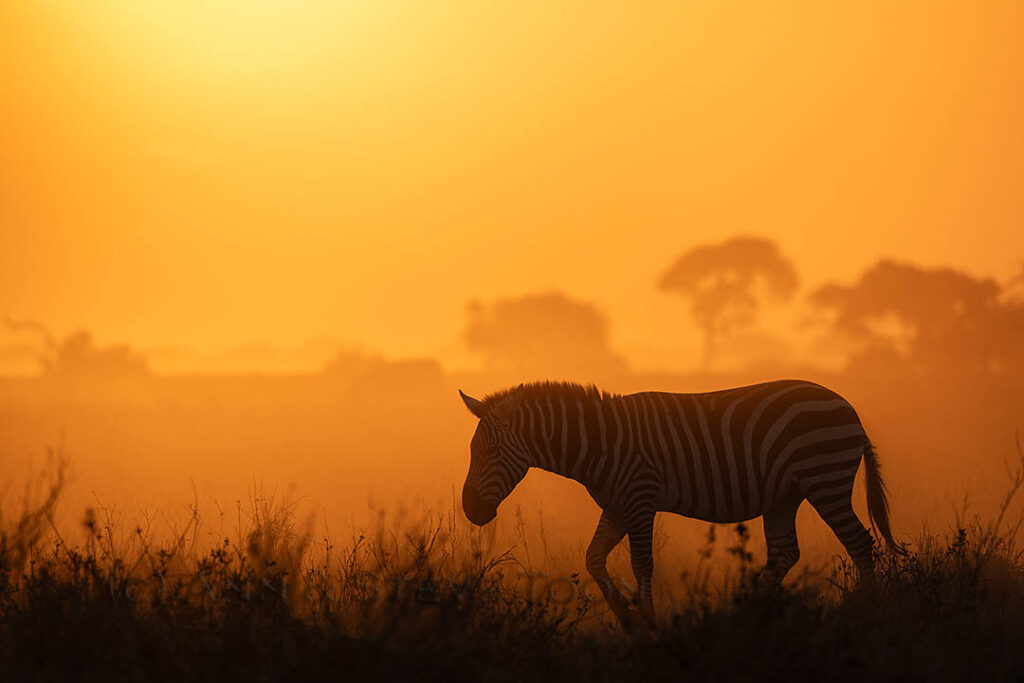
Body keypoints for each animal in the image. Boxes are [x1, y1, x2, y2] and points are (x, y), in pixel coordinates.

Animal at [458, 380, 900, 626]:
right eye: (472, 450)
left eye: (490, 451)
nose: (470, 511)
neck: (600, 442)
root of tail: (848, 408)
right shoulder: (617, 505)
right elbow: (593, 558)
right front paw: (627, 617)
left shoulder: (639, 498)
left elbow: (641, 564)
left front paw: (650, 622)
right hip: (785, 495)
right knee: (785, 554)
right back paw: (746, 615)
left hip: (824, 478)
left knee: (860, 544)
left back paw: (865, 610)